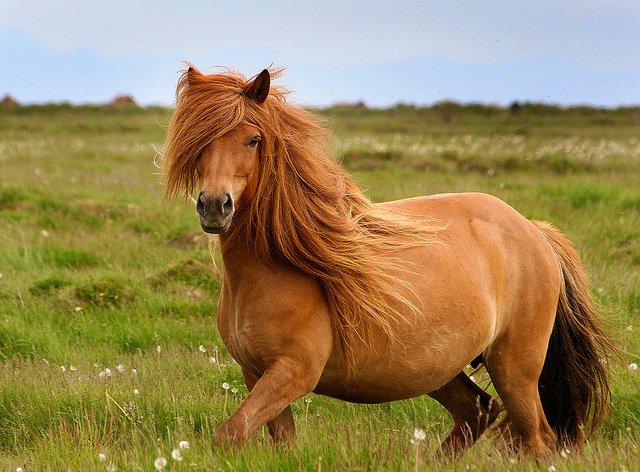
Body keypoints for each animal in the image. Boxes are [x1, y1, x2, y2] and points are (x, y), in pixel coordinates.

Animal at [161, 66, 616, 458]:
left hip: (514, 367)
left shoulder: (294, 371)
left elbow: (229, 434)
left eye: (253, 140)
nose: (215, 206)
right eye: (200, 140)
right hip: (436, 367)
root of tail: (533, 230)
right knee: (477, 411)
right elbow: (271, 440)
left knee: (536, 438)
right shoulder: (256, 373)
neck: (274, 269)